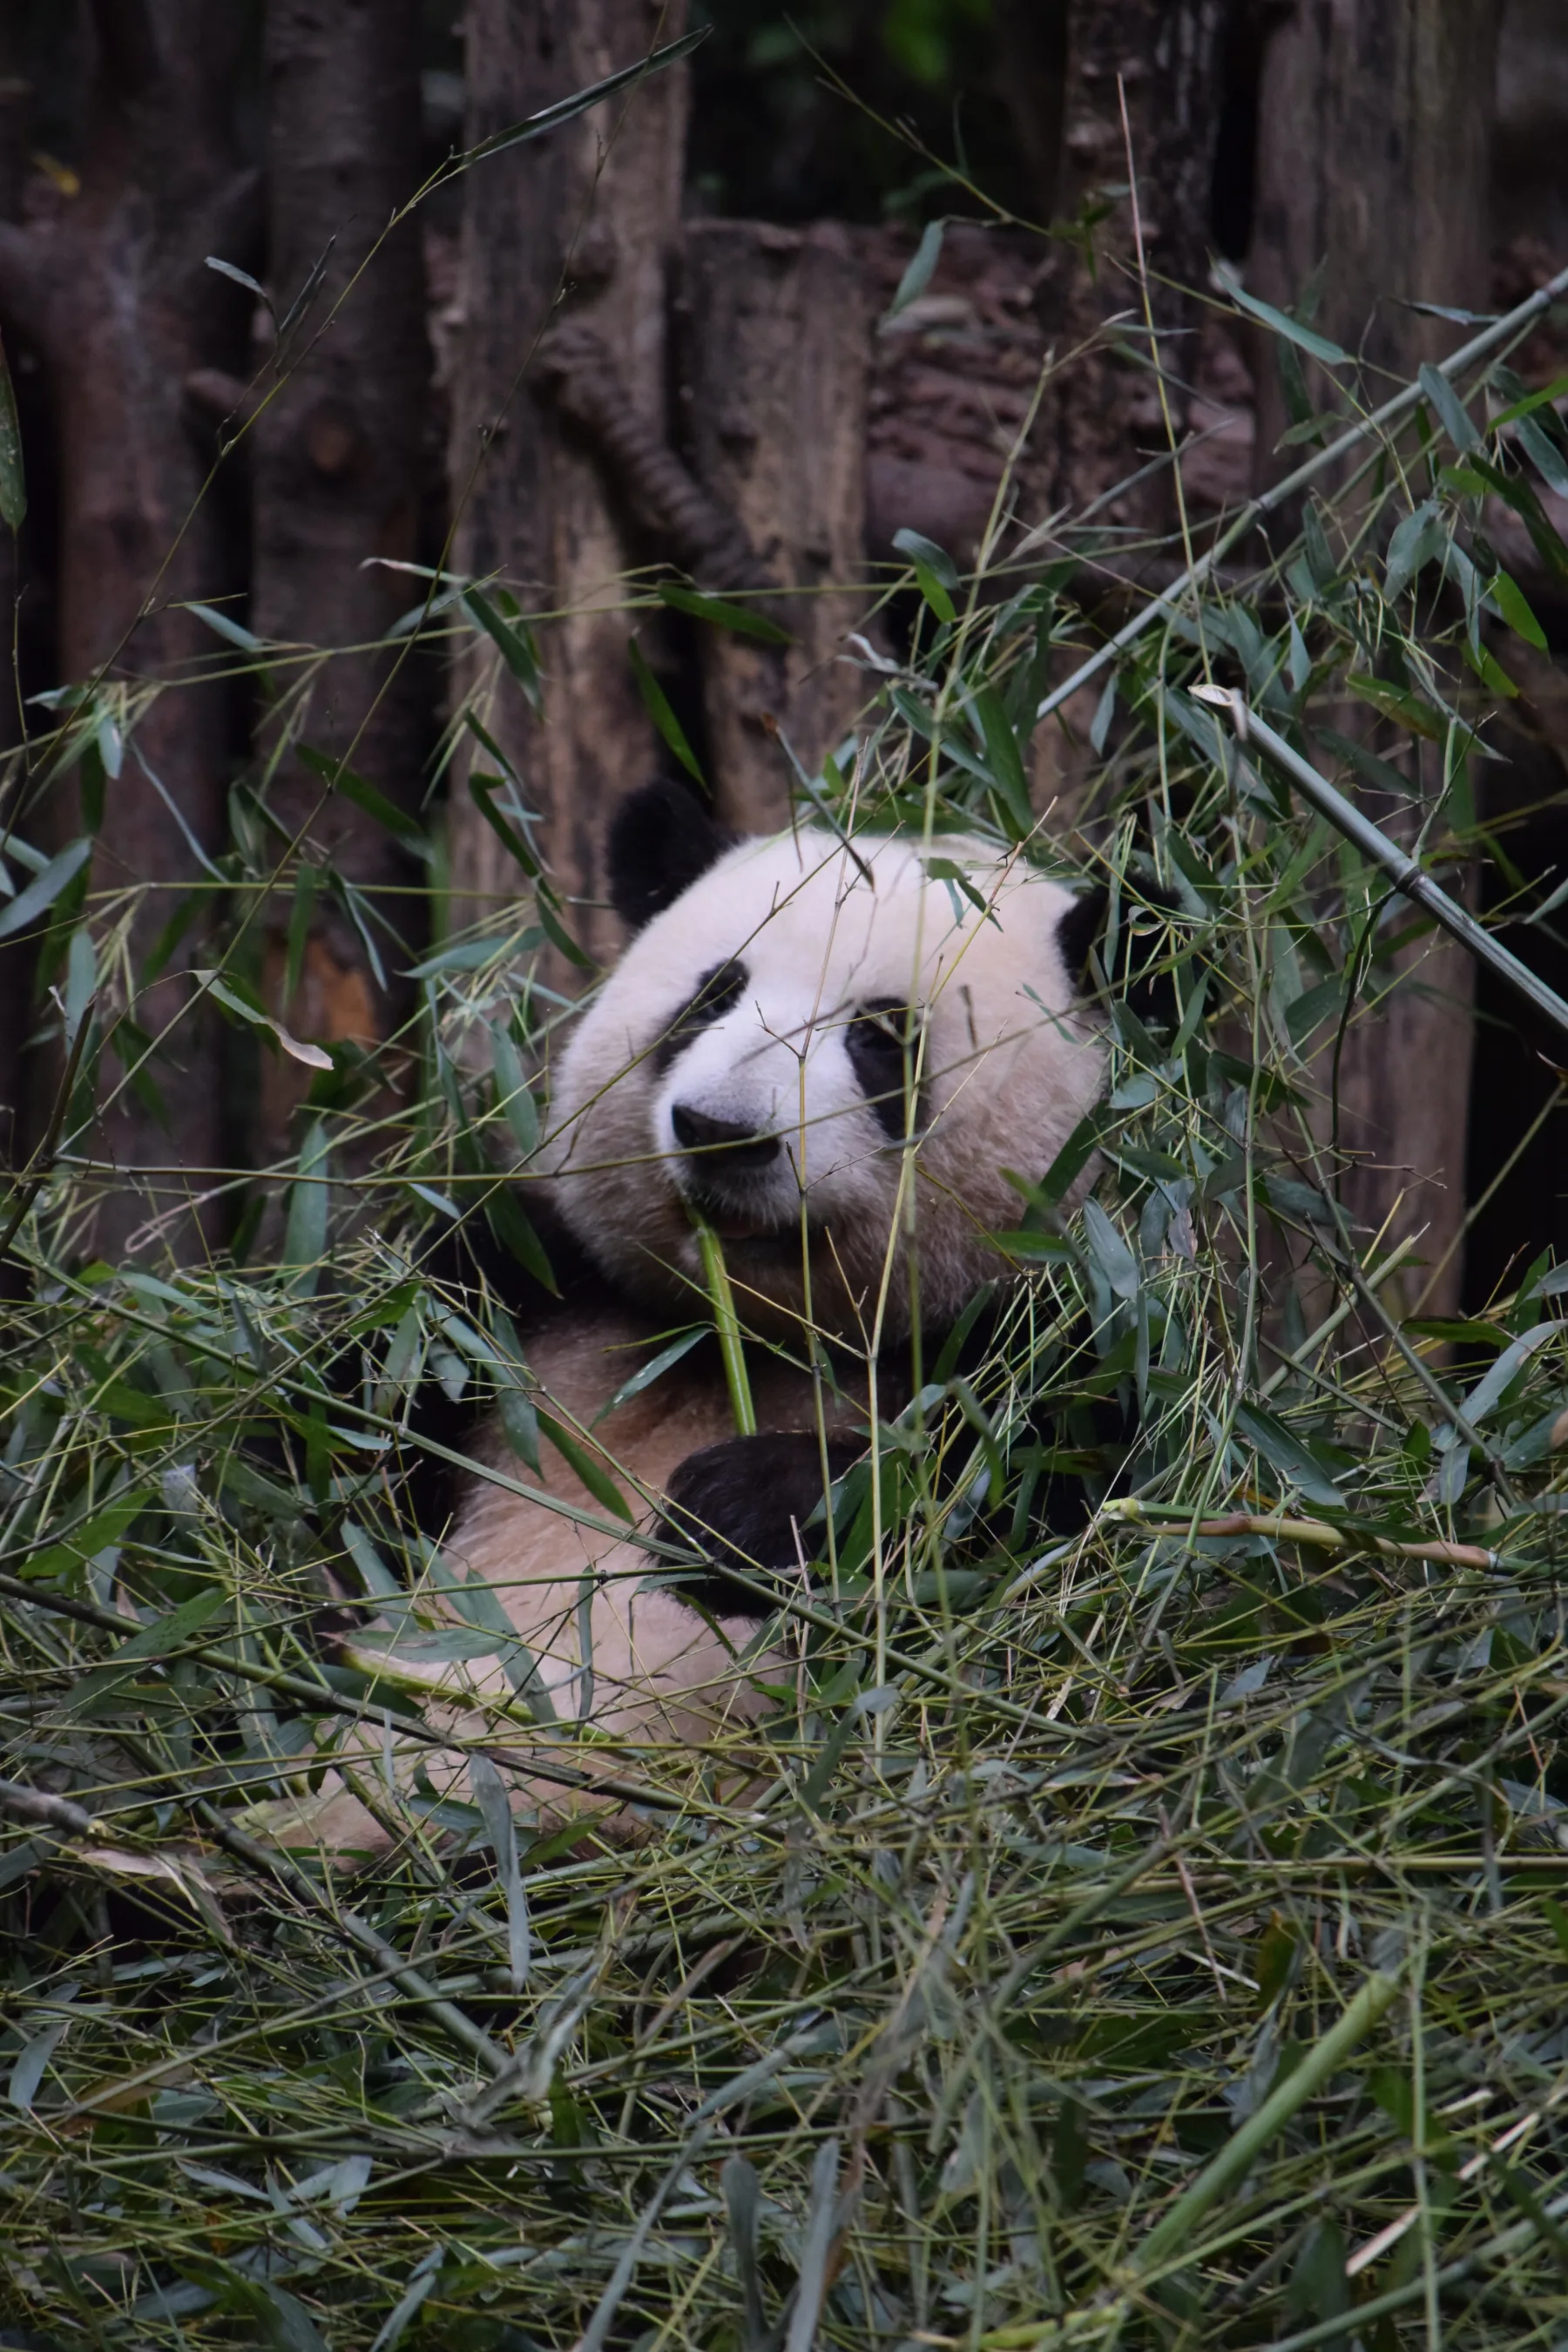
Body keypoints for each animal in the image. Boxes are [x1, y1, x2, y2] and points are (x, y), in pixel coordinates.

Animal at [261, 780, 1111, 1860]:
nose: (721, 1132)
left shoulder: (1046, 1340)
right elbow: (331, 1450)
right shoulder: (520, 1301)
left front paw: (736, 1511)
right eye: (713, 997)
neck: (748, 1331)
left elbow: (1049, 1532)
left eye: (879, 1039)